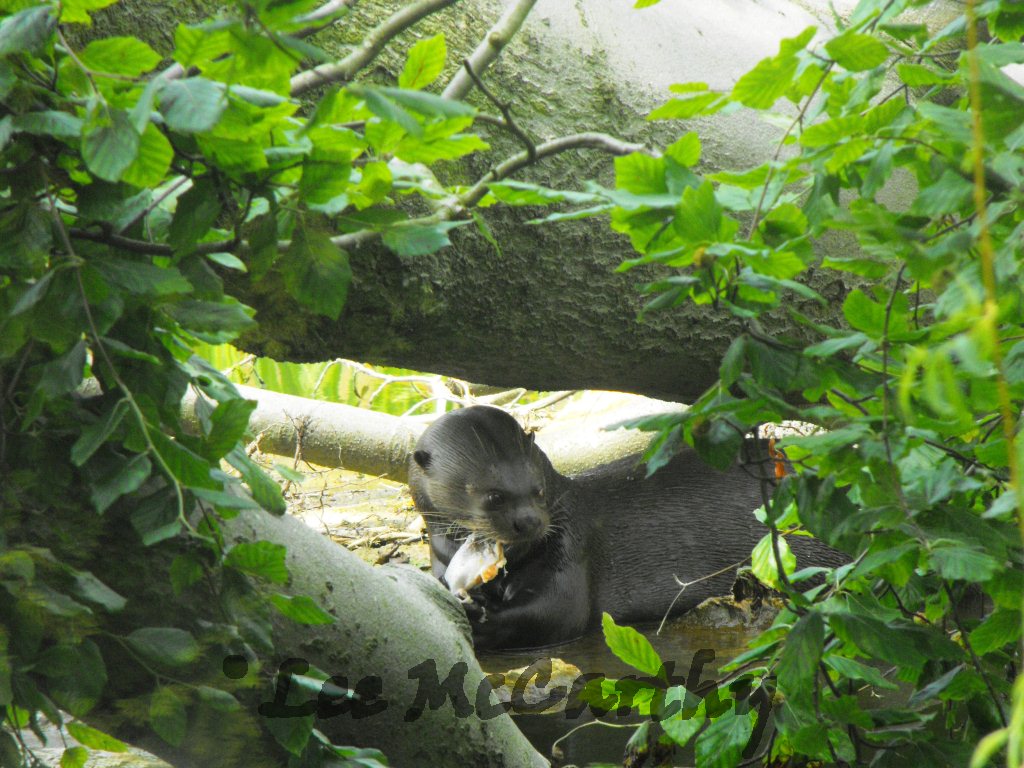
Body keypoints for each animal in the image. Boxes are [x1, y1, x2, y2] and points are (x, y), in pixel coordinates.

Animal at [409, 405, 842, 651]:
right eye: (494, 496)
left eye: (537, 489)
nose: (530, 521)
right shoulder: (441, 555)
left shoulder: (571, 545)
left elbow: (559, 613)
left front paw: (479, 615)